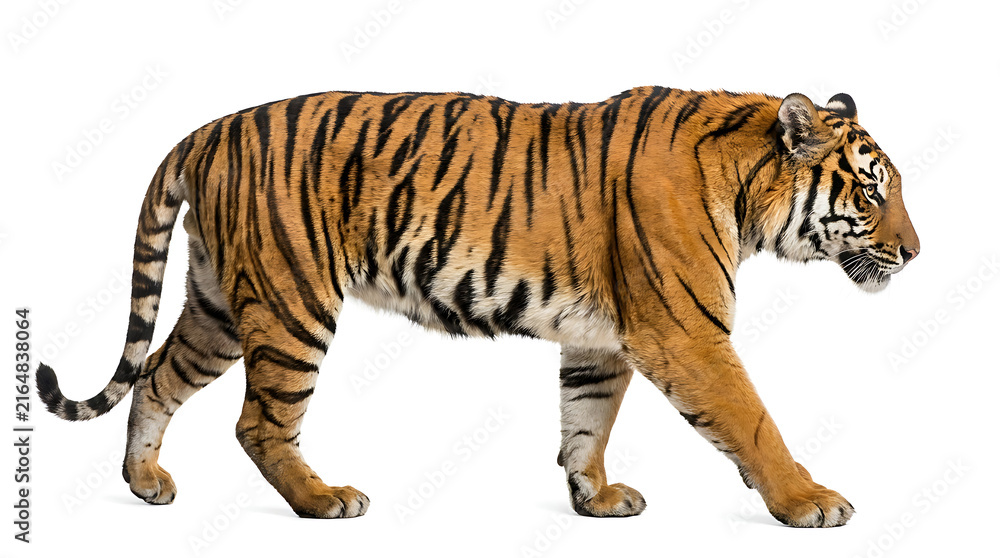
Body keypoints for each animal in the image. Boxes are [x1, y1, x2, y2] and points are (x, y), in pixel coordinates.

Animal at [36, 86, 919, 526]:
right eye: (873, 191)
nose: (915, 254)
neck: (745, 190)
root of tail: (208, 129)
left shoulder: (601, 341)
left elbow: (586, 421)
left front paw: (595, 499)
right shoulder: (686, 333)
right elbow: (754, 422)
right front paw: (810, 502)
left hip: (221, 303)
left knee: (156, 378)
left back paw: (145, 482)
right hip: (292, 304)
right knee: (258, 422)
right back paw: (323, 501)